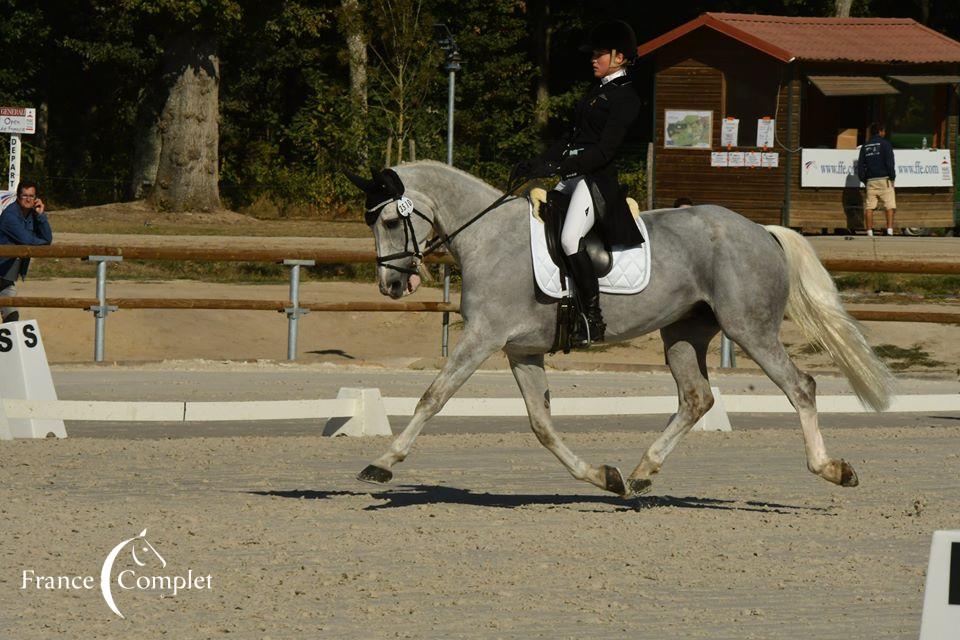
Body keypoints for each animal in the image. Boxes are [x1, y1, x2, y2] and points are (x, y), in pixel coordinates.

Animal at [346, 159, 892, 496]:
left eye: (390, 222)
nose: (391, 284)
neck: (488, 238)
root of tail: (762, 231)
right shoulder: (520, 350)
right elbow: (542, 426)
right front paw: (602, 476)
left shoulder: (483, 337)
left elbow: (432, 397)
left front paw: (383, 462)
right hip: (684, 333)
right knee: (697, 398)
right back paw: (641, 472)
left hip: (749, 329)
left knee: (800, 386)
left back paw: (831, 469)